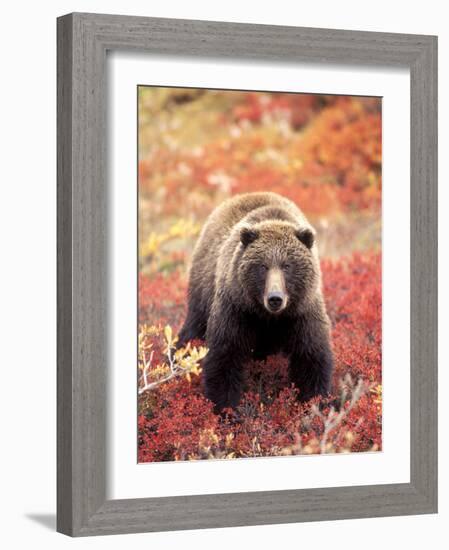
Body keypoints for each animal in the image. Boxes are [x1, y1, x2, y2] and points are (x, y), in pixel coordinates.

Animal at [177, 194, 330, 414]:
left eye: (287, 265)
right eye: (263, 266)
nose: (275, 298)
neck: (268, 317)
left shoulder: (302, 312)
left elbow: (311, 357)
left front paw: (315, 404)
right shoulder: (236, 308)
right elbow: (224, 356)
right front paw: (227, 409)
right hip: (203, 289)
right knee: (193, 328)